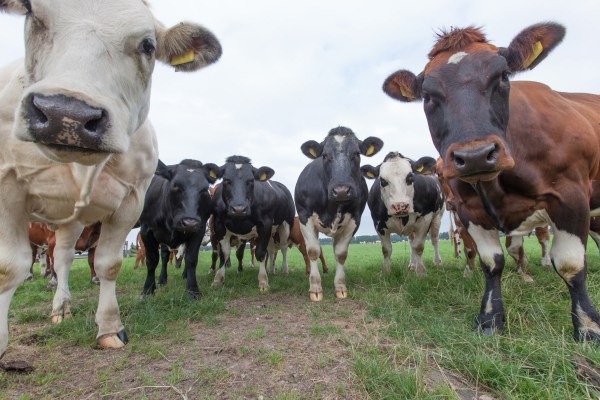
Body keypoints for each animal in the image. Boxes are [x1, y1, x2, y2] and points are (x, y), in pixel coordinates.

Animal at [139, 161, 221, 298]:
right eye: (175, 185)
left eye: (204, 189)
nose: (190, 223)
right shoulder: (146, 230)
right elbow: (151, 260)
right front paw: (148, 289)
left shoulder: (198, 230)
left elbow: (191, 259)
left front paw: (192, 290)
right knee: (164, 256)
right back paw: (162, 280)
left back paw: (185, 275)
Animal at [211, 155, 296, 290]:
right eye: (226, 180)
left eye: (251, 181)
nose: (239, 209)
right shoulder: (218, 224)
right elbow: (224, 253)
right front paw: (218, 279)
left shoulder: (265, 224)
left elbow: (260, 252)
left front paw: (263, 281)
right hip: (272, 231)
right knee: (271, 249)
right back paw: (271, 270)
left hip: (286, 223)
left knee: (283, 247)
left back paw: (284, 270)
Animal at [296, 126, 384, 302]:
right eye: (325, 155)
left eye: (356, 153)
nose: (341, 190)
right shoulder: (304, 218)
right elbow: (313, 251)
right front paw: (315, 288)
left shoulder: (354, 220)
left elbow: (341, 254)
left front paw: (340, 287)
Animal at [384, 22, 600, 340]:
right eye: (428, 95)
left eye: (503, 76)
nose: (475, 156)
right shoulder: (469, 211)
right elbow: (491, 261)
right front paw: (489, 319)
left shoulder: (570, 197)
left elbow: (570, 264)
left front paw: (587, 328)